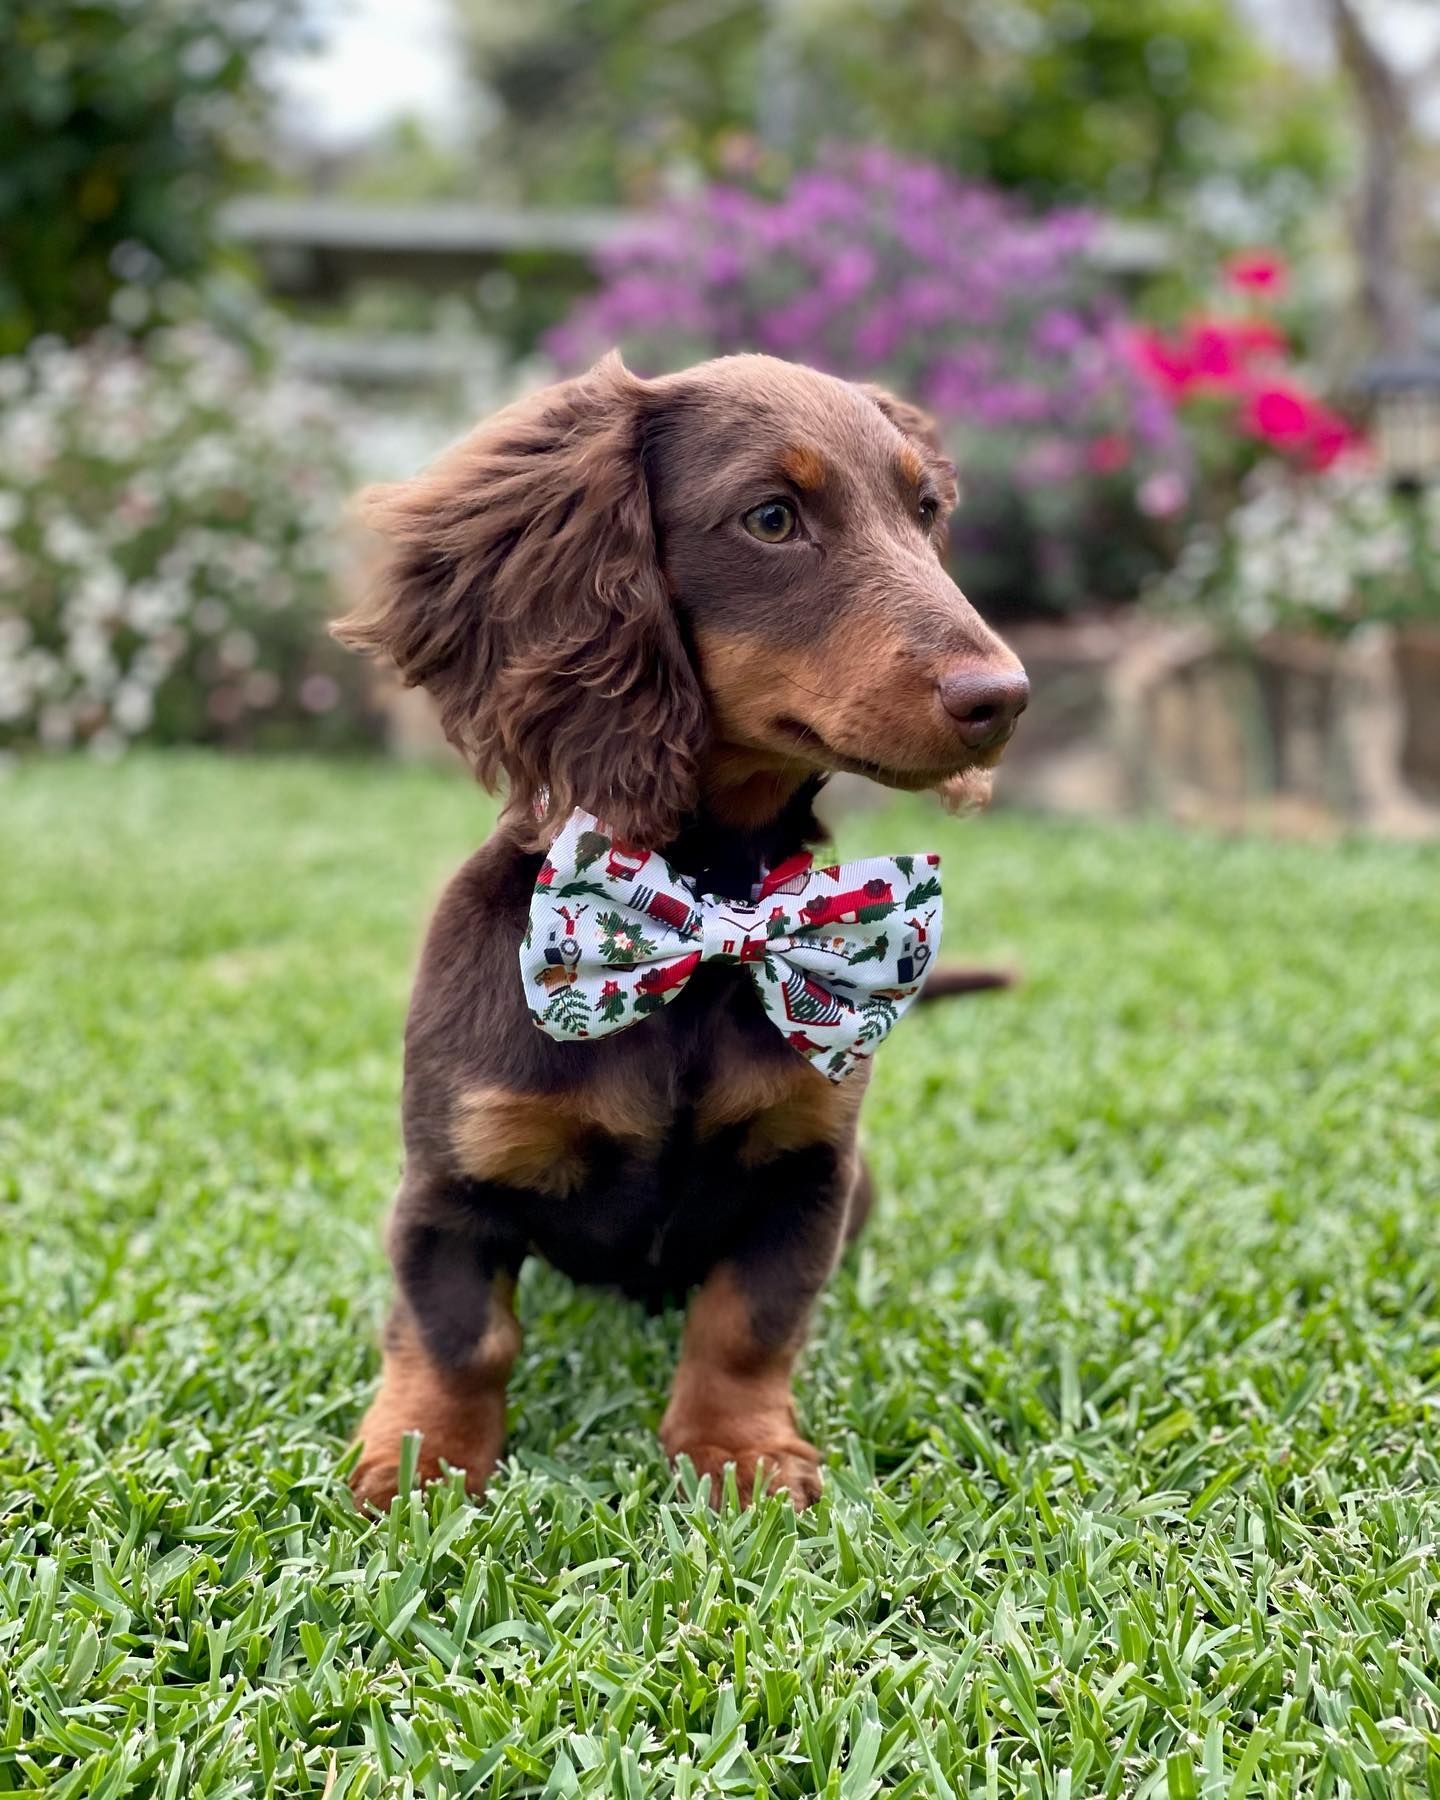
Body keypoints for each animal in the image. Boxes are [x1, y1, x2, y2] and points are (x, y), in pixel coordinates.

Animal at [333, 347, 1022, 1504]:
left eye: (924, 511)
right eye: (772, 518)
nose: (1005, 699)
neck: (706, 914)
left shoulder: (809, 1173)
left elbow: (749, 1322)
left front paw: (737, 1449)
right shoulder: (449, 1181)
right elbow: (457, 1335)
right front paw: (421, 1460)